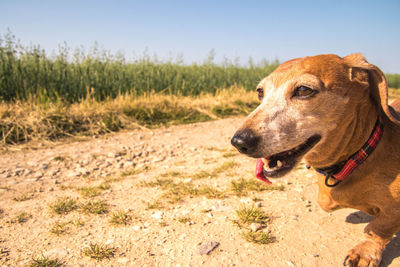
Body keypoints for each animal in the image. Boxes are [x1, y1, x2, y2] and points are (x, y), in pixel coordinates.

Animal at [230, 53, 400, 266]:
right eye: (260, 92)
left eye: (303, 90)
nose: (239, 142)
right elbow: (326, 201)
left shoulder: (393, 210)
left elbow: (379, 227)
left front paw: (365, 252)